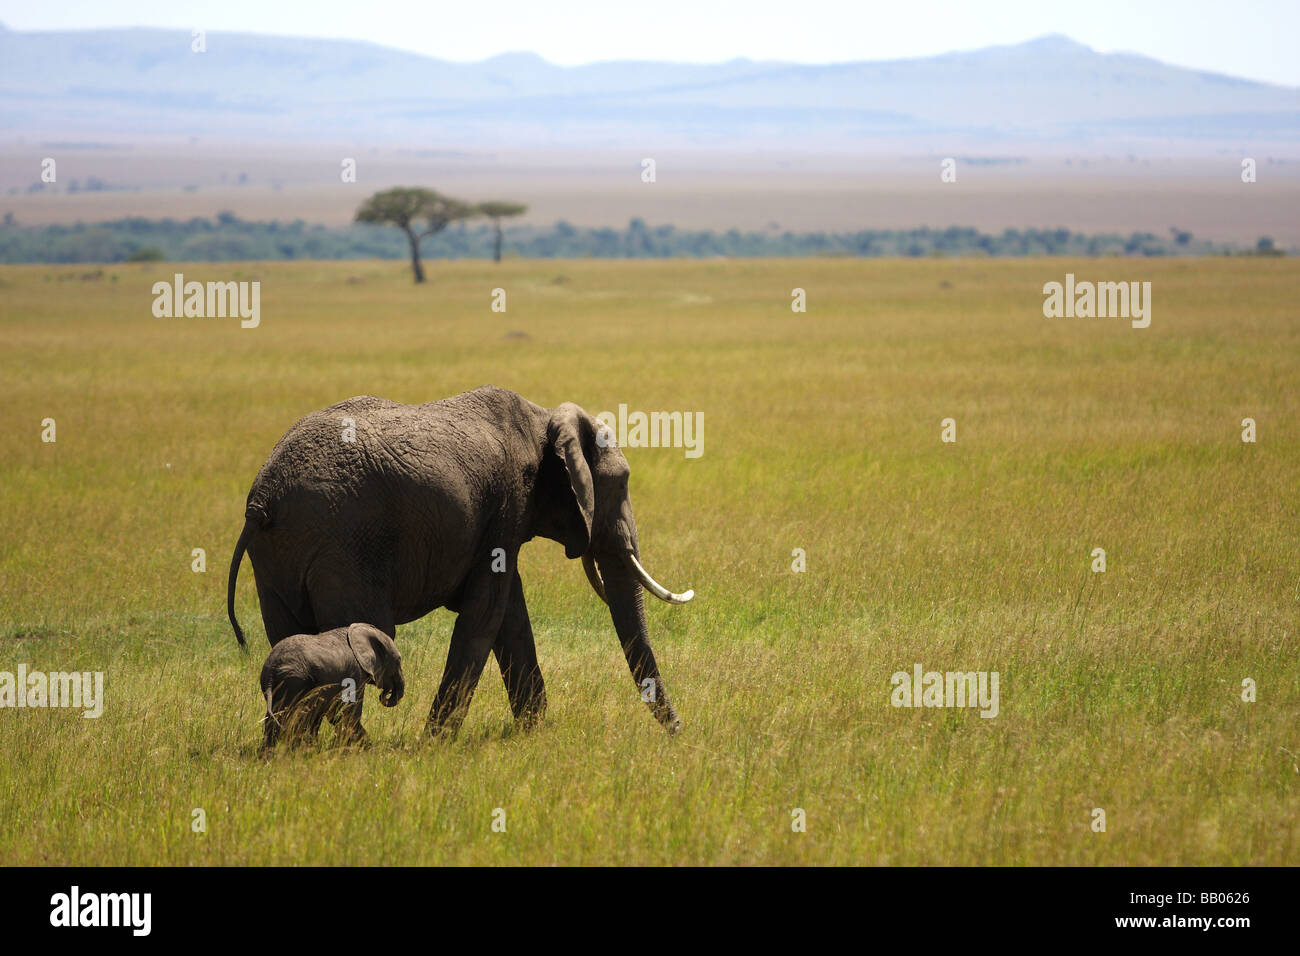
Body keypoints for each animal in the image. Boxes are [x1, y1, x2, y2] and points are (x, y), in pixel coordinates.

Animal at [260, 623, 405, 749]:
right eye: (398, 661)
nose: (384, 694)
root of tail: (271, 669)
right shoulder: (354, 673)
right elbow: (347, 714)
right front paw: (366, 748)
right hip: (295, 682)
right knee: (297, 717)